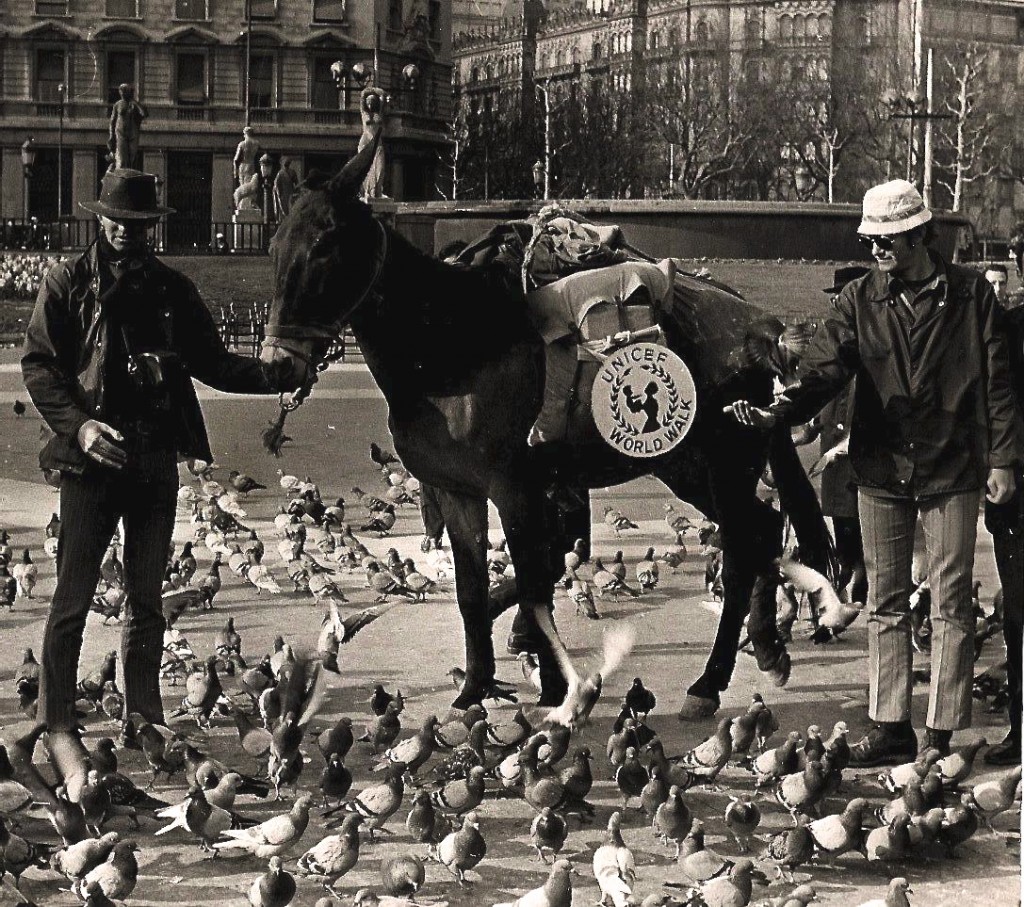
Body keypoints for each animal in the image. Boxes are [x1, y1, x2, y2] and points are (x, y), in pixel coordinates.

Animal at [258, 138, 831, 712]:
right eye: (276, 244)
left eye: (325, 246)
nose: (278, 364)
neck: (452, 346)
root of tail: (760, 327)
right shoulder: (457, 492)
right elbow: (473, 590)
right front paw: (476, 683)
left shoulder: (517, 490)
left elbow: (535, 582)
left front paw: (552, 681)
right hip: (688, 466)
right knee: (760, 529)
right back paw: (763, 642)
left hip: (721, 463)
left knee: (742, 547)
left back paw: (710, 680)